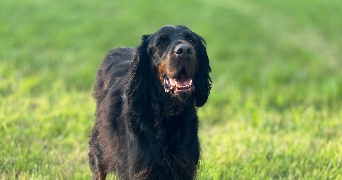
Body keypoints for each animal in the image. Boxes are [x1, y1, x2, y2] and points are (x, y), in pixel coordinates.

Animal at [88, 25, 211, 180]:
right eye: (161, 42)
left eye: (191, 40)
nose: (184, 50)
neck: (168, 116)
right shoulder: (141, 170)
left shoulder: (184, 168)